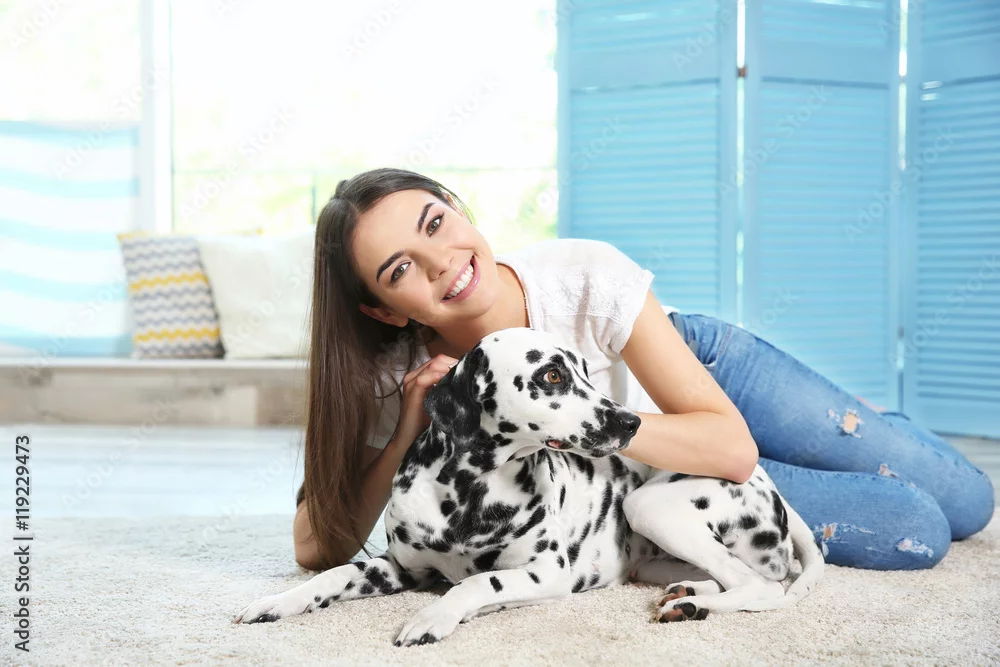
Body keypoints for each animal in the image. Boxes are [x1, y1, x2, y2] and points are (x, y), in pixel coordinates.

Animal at [234, 327, 824, 646]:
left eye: (582, 369)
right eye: (553, 376)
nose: (631, 422)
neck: (467, 494)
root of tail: (772, 488)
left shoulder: (543, 574)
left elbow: (475, 584)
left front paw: (432, 616)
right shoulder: (397, 567)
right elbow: (330, 575)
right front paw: (276, 601)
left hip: (649, 504)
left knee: (763, 586)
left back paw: (694, 607)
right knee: (732, 579)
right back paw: (688, 596)